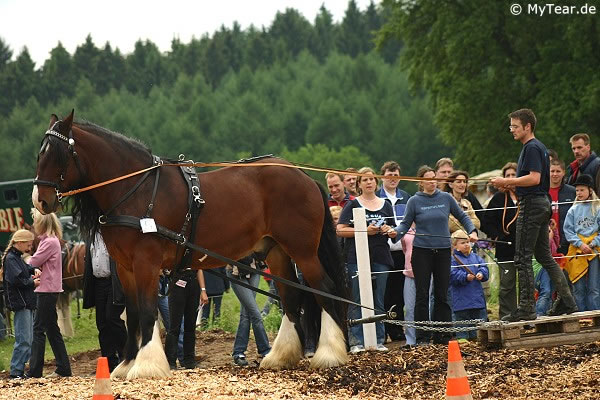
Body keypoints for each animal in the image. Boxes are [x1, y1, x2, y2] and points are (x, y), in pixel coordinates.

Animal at [32, 110, 349, 379]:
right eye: (39, 152)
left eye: (58, 154)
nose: (40, 200)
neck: (136, 191)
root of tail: (302, 175)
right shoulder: (125, 268)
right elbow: (132, 314)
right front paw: (125, 364)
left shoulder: (146, 263)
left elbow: (147, 310)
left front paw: (146, 366)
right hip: (277, 252)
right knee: (291, 298)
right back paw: (280, 357)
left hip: (303, 251)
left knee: (324, 289)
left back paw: (330, 354)